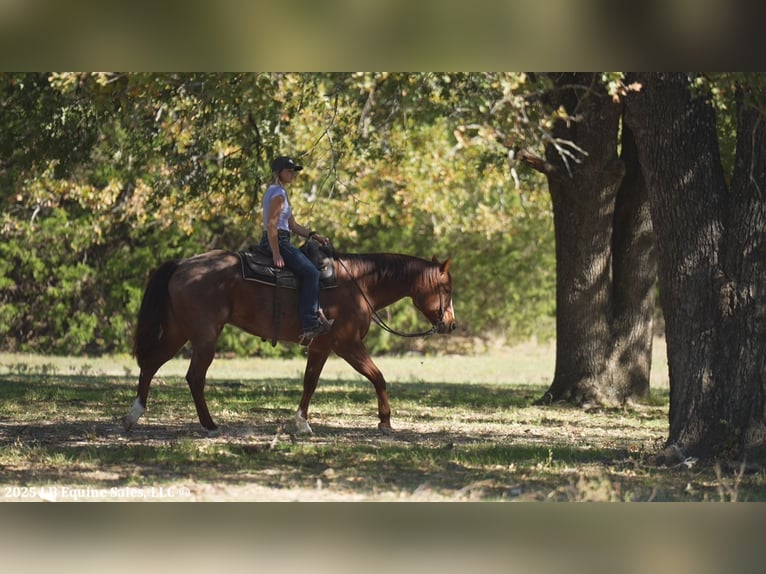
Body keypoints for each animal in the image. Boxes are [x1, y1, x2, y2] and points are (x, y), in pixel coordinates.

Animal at [122, 248, 456, 435]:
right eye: (447, 289)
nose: (451, 325)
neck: (358, 284)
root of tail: (182, 265)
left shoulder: (321, 347)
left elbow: (310, 382)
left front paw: (301, 422)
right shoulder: (347, 344)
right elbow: (379, 377)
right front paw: (385, 421)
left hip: (178, 332)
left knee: (151, 363)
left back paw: (134, 415)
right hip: (204, 336)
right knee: (194, 376)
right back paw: (208, 424)